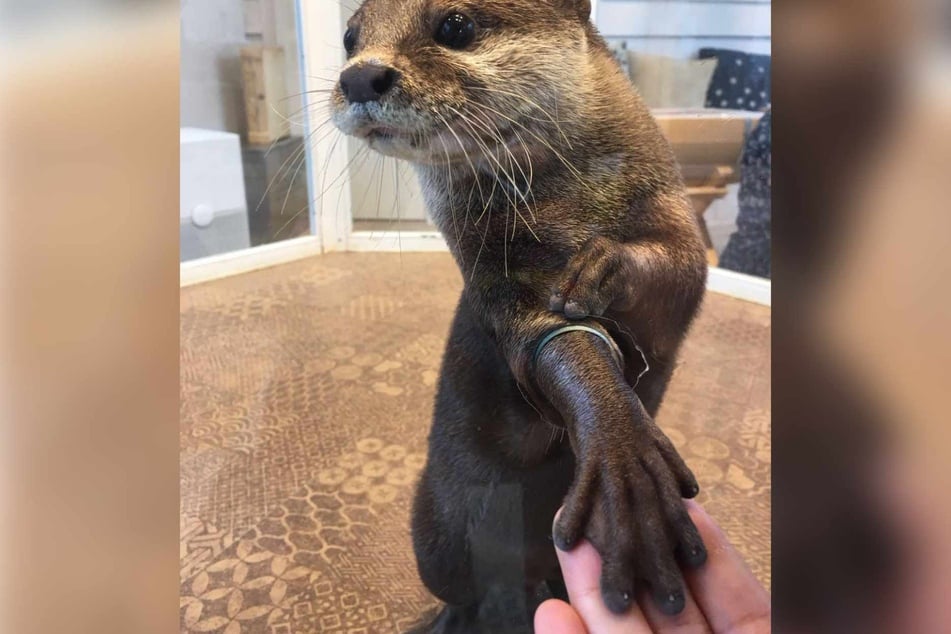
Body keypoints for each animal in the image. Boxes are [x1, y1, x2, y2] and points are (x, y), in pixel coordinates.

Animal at [330, 1, 712, 628]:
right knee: (460, 587)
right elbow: (546, 341)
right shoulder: (491, 272)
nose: (359, 75)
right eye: (349, 38)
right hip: (430, 529)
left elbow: (679, 274)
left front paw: (601, 267)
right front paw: (623, 459)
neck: (573, 205)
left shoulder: (670, 215)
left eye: (455, 25)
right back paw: (449, 619)